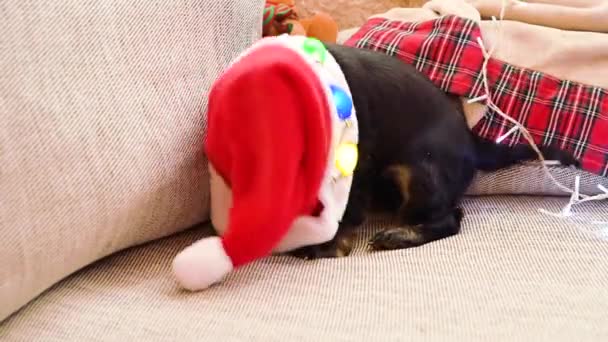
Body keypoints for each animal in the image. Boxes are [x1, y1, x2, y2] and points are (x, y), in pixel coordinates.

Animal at [290, 43, 576, 260]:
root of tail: (472, 141)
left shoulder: (357, 160)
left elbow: (348, 208)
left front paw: (327, 245)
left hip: (418, 173)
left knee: (449, 219)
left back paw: (399, 236)